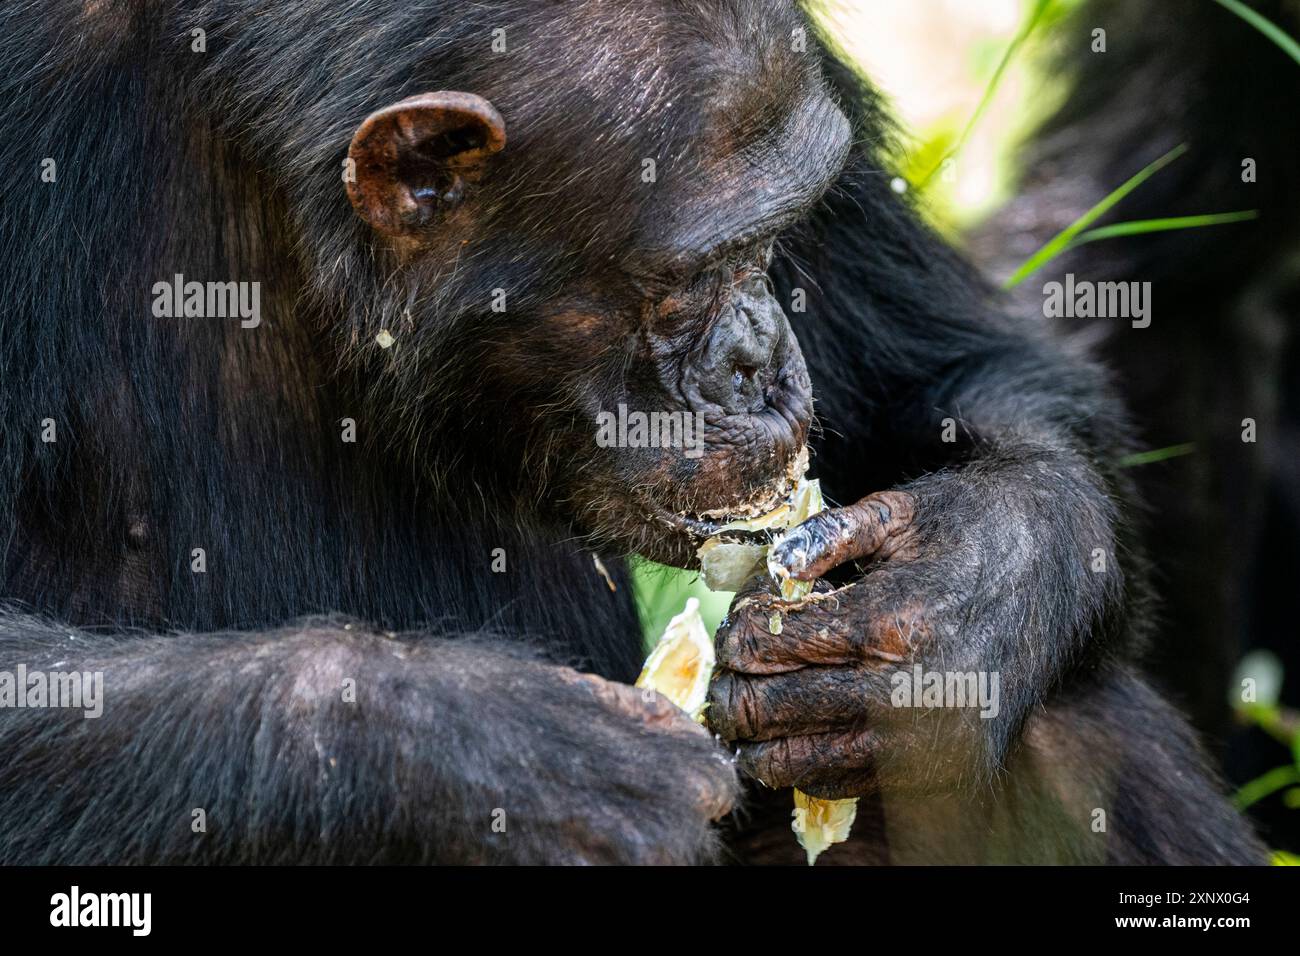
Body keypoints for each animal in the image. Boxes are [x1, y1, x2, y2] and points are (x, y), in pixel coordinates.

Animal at [0, 1, 1263, 868]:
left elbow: (951, 367)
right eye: (699, 270)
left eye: (780, 237)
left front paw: (949, 606)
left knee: (1075, 723)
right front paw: (498, 756)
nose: (761, 355)